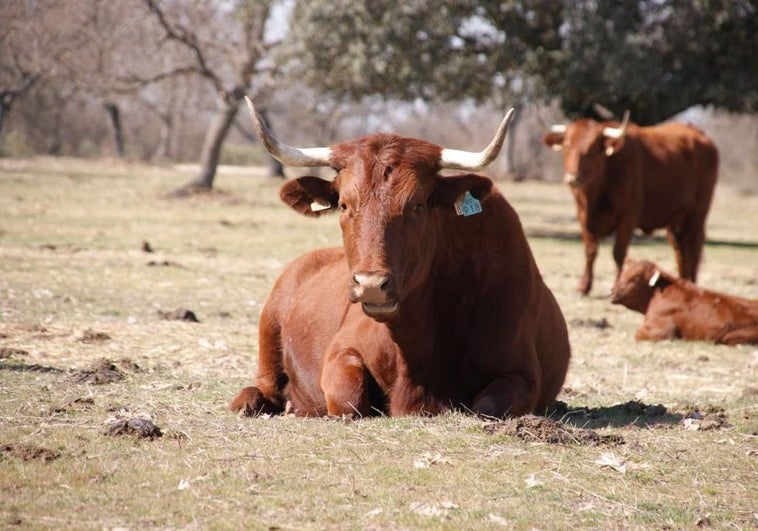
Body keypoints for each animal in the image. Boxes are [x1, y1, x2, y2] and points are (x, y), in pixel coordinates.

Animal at [229, 96, 572, 420]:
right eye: (344, 204)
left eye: (417, 206)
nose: (370, 284)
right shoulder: (341, 351)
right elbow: (348, 401)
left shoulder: (521, 373)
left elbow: (486, 406)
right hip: (268, 329)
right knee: (263, 385)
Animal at [548, 115, 720, 296]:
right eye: (567, 146)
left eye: (593, 149)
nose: (573, 178)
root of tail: (699, 134)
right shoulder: (583, 216)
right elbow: (590, 250)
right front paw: (583, 287)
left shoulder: (627, 217)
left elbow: (619, 253)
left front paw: (617, 285)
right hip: (676, 221)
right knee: (680, 250)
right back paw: (684, 282)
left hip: (697, 215)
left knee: (694, 247)